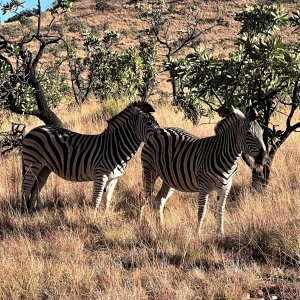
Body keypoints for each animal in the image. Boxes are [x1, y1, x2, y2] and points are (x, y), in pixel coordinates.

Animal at [21, 102, 159, 212]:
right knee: (26, 187)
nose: (160, 133)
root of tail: (35, 129)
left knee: (36, 186)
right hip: (32, 162)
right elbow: (96, 199)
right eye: (149, 123)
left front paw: (105, 217)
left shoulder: (114, 178)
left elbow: (107, 199)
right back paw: (23, 212)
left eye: (156, 122)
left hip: (45, 167)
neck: (115, 146)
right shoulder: (100, 175)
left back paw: (32, 212)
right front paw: (94, 219)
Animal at [141, 106, 268, 236]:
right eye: (248, 133)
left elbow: (220, 210)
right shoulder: (204, 187)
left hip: (169, 179)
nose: (264, 158)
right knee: (145, 199)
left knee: (159, 200)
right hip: (149, 171)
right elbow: (202, 211)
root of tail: (158, 130)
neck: (227, 158)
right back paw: (142, 224)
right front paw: (198, 234)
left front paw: (221, 233)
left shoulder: (226, 187)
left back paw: (160, 227)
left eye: (262, 133)